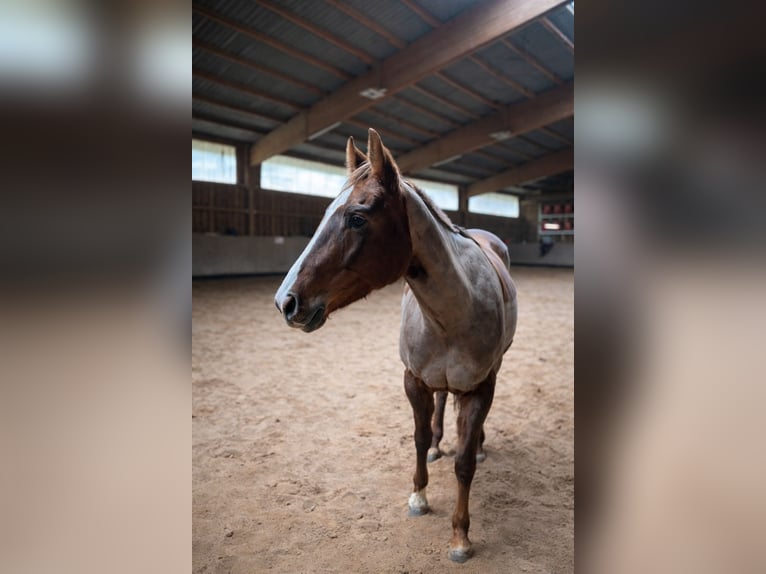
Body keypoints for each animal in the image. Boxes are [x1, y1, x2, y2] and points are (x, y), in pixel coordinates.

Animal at [275, 129, 517, 563]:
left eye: (357, 217)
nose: (286, 301)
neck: (453, 313)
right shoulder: (413, 381)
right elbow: (418, 437)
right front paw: (419, 495)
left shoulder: (479, 388)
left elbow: (464, 464)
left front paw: (460, 537)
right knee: (441, 403)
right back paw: (439, 444)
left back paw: (477, 445)